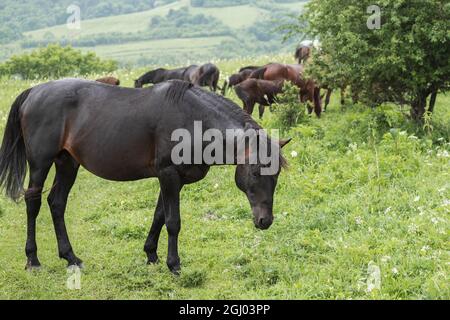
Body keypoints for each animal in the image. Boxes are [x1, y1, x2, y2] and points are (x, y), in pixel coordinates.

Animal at [0, 79, 292, 274]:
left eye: (276, 174)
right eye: (255, 171)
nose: (265, 221)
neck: (193, 119)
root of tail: (33, 92)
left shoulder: (173, 179)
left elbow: (159, 215)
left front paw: (151, 254)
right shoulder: (168, 174)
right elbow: (173, 221)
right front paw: (174, 264)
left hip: (67, 163)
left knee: (57, 203)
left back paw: (71, 257)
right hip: (40, 164)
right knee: (33, 203)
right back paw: (33, 260)